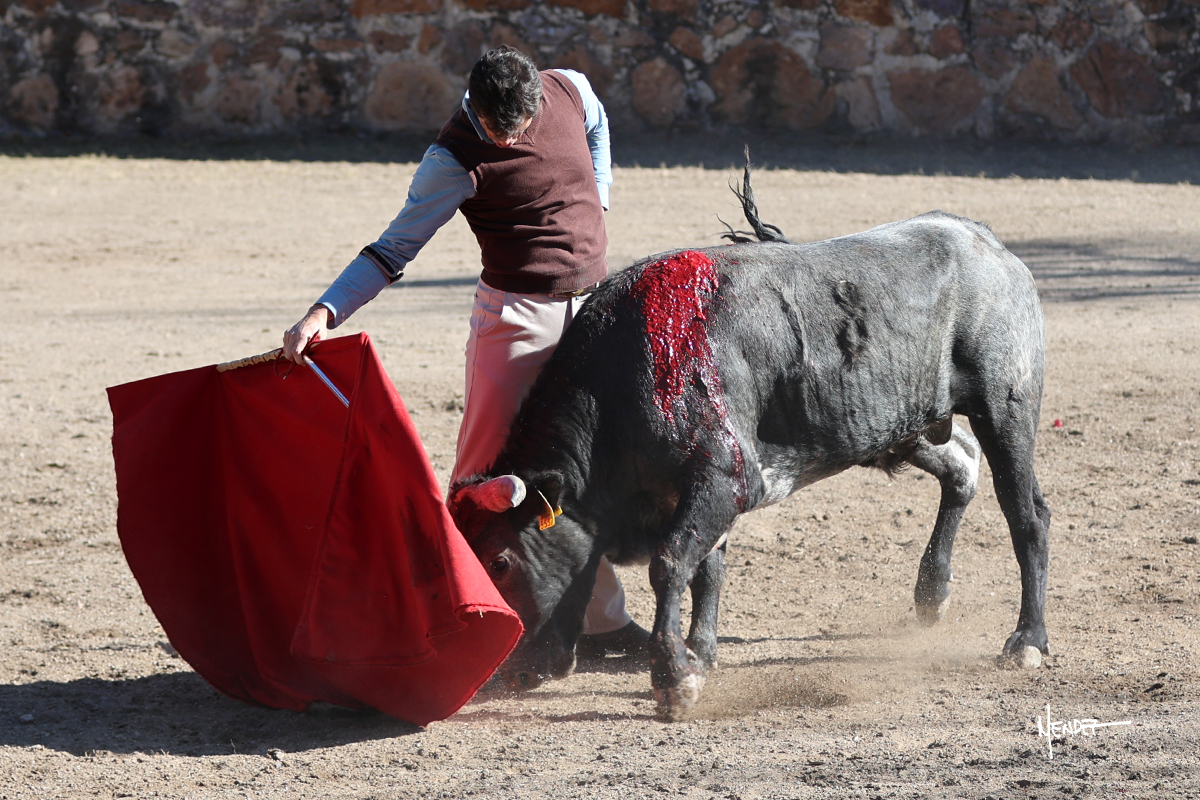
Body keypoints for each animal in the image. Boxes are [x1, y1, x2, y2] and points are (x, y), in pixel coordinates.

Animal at [449, 154, 1050, 721]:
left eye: (499, 562)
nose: (514, 672)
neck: (622, 375)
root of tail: (983, 239)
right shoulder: (708, 492)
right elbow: (706, 569)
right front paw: (701, 653)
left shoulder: (720, 480)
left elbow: (672, 564)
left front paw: (675, 680)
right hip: (902, 425)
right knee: (962, 466)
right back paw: (933, 594)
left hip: (1005, 407)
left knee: (1026, 513)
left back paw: (1028, 640)